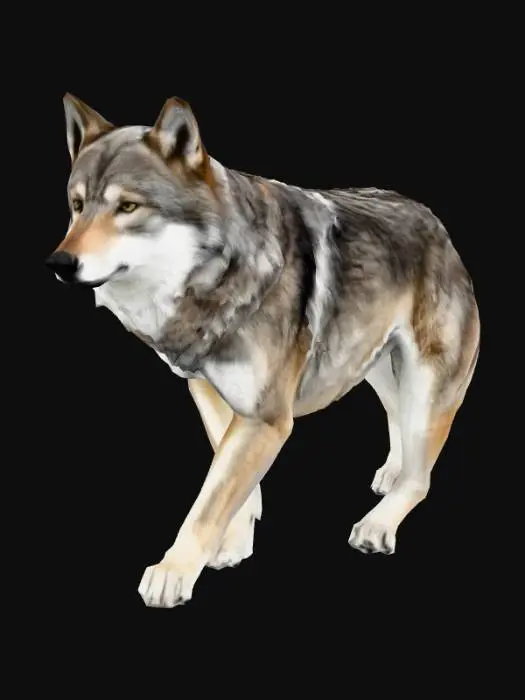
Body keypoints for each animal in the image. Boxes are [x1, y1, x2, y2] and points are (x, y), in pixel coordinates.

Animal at [46, 94, 480, 608]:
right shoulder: (209, 394)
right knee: (396, 420)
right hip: (367, 364)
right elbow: (232, 482)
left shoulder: (266, 417)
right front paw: (234, 544)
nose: (59, 263)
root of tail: (434, 221)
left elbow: (211, 497)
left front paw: (173, 572)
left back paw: (377, 525)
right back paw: (391, 473)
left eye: (127, 207)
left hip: (427, 386)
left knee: (421, 478)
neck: (214, 279)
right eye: (77, 206)